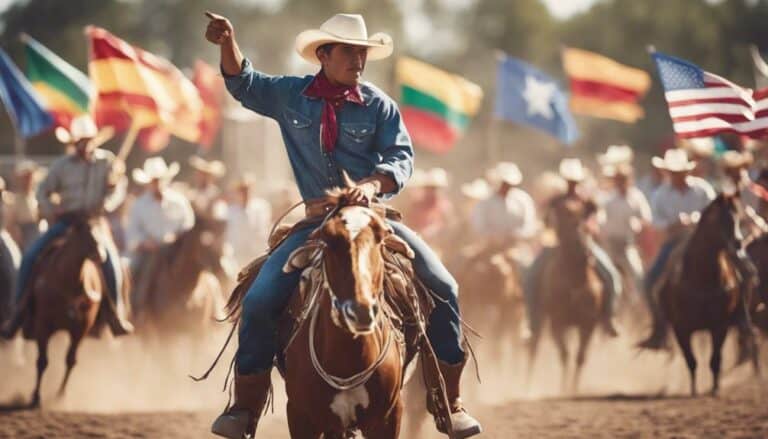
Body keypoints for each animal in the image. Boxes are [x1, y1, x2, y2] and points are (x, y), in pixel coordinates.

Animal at [528, 198, 608, 394]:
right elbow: (564, 354)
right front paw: (563, 388)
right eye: (562, 221)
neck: (575, 279)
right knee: (534, 347)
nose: (583, 250)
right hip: (540, 319)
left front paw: (573, 389)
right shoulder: (557, 322)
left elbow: (580, 356)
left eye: (586, 224)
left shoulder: (589, 323)